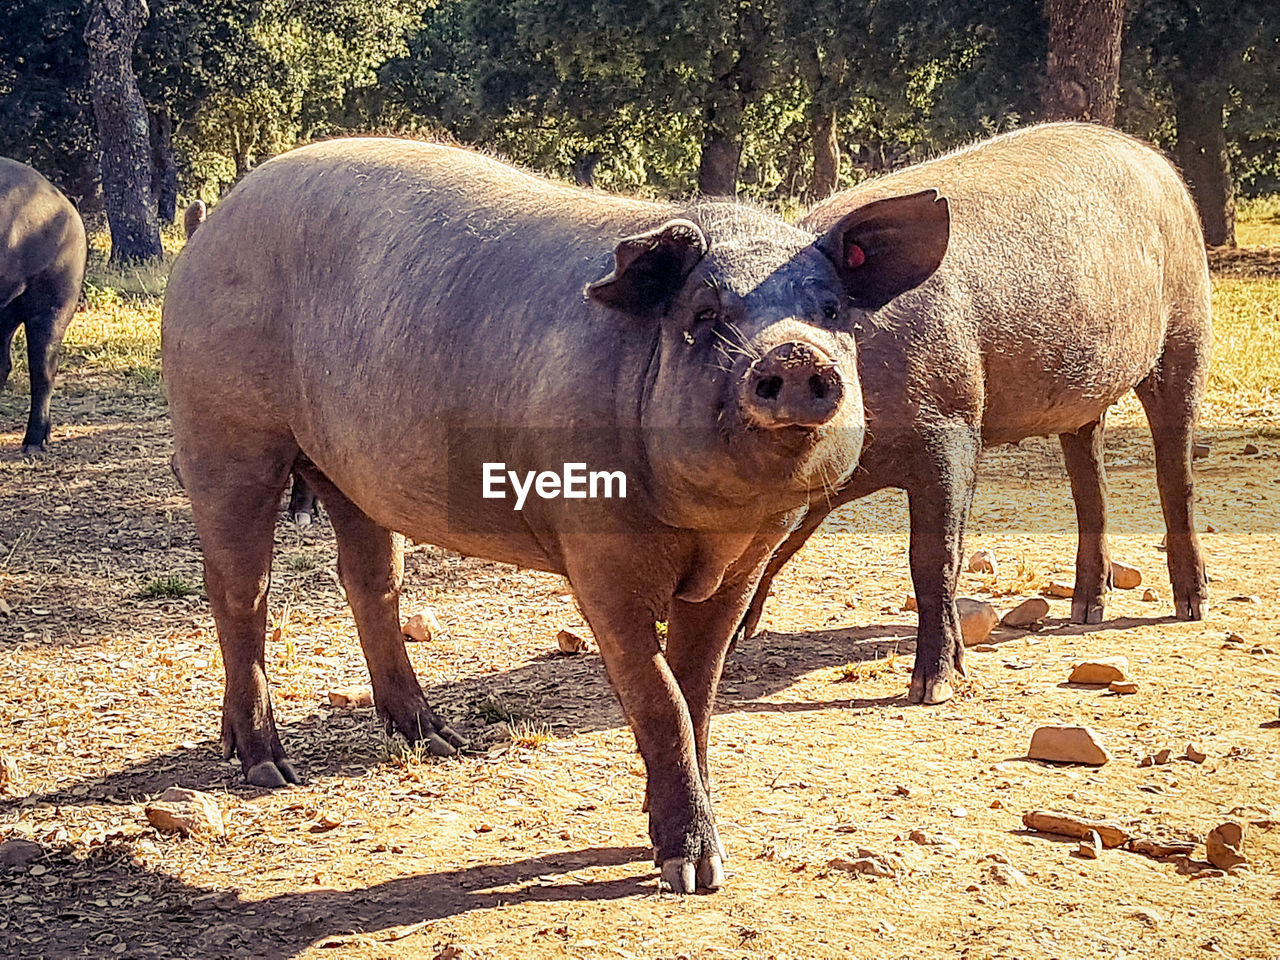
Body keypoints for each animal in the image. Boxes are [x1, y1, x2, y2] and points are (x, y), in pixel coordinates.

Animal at [165, 138, 952, 901]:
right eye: (703, 318)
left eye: (832, 312)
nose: (792, 352)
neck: (711, 529)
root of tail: (216, 222)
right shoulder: (596, 552)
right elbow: (658, 697)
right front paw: (692, 874)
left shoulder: (743, 564)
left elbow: (698, 691)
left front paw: (684, 846)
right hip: (224, 430)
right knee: (239, 588)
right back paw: (268, 768)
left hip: (349, 470)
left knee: (369, 578)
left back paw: (437, 739)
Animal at [742, 122, 1208, 706]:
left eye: (825, 311)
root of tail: (1157, 160)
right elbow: (778, 545)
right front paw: (738, 634)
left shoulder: (953, 426)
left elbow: (934, 558)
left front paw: (932, 688)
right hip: (1083, 394)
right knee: (1089, 481)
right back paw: (1086, 610)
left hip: (1187, 328)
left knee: (1175, 469)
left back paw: (1191, 607)